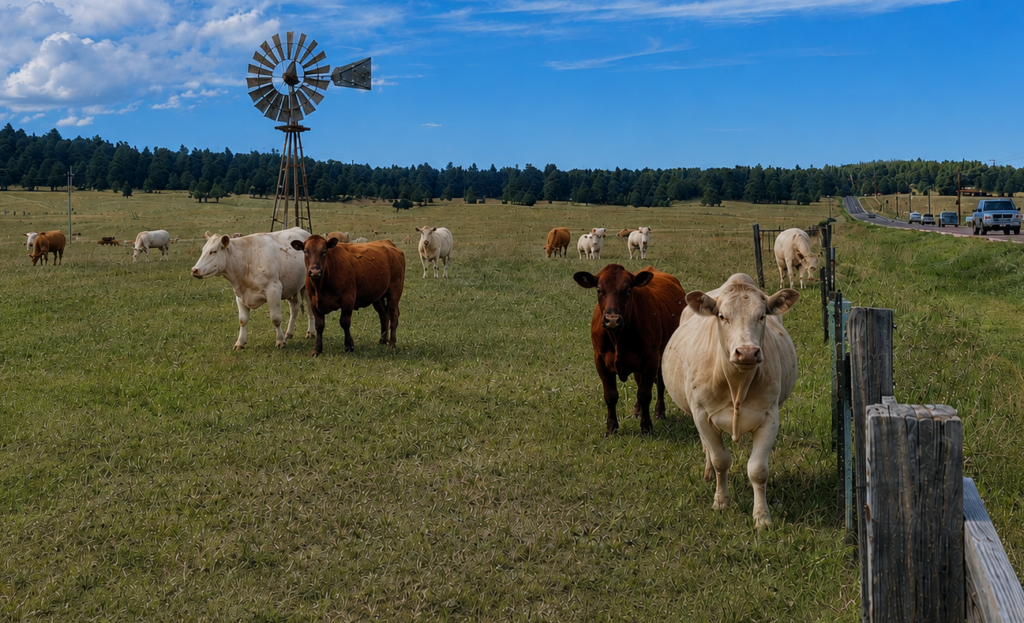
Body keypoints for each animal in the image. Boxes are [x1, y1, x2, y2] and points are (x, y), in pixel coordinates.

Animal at [574, 264, 687, 436]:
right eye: (599, 289)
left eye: (628, 290)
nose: (612, 320)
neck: (618, 339)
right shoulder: (600, 360)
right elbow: (611, 395)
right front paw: (611, 427)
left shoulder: (651, 359)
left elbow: (645, 393)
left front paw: (646, 427)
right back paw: (637, 411)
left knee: (660, 384)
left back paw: (659, 411)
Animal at [661, 273, 799, 528]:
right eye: (722, 316)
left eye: (762, 315)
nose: (747, 352)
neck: (737, 385)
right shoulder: (702, 414)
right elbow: (720, 460)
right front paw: (721, 502)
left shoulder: (769, 417)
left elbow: (757, 470)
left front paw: (762, 517)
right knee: (707, 448)